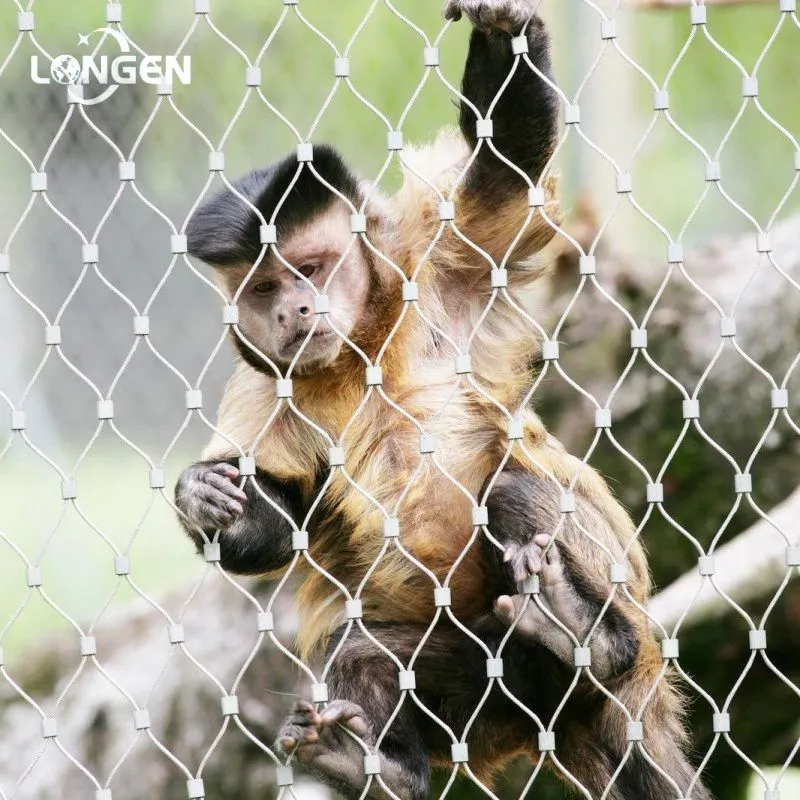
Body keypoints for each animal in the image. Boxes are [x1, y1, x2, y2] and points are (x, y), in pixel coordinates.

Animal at [174, 2, 712, 798]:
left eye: (312, 269)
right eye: (264, 287)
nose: (293, 312)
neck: (359, 352)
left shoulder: (432, 258)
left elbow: (505, 172)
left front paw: (501, 31)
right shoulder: (264, 385)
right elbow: (282, 515)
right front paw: (205, 499)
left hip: (618, 607)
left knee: (516, 490)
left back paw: (586, 635)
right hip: (480, 688)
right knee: (363, 649)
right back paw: (373, 764)